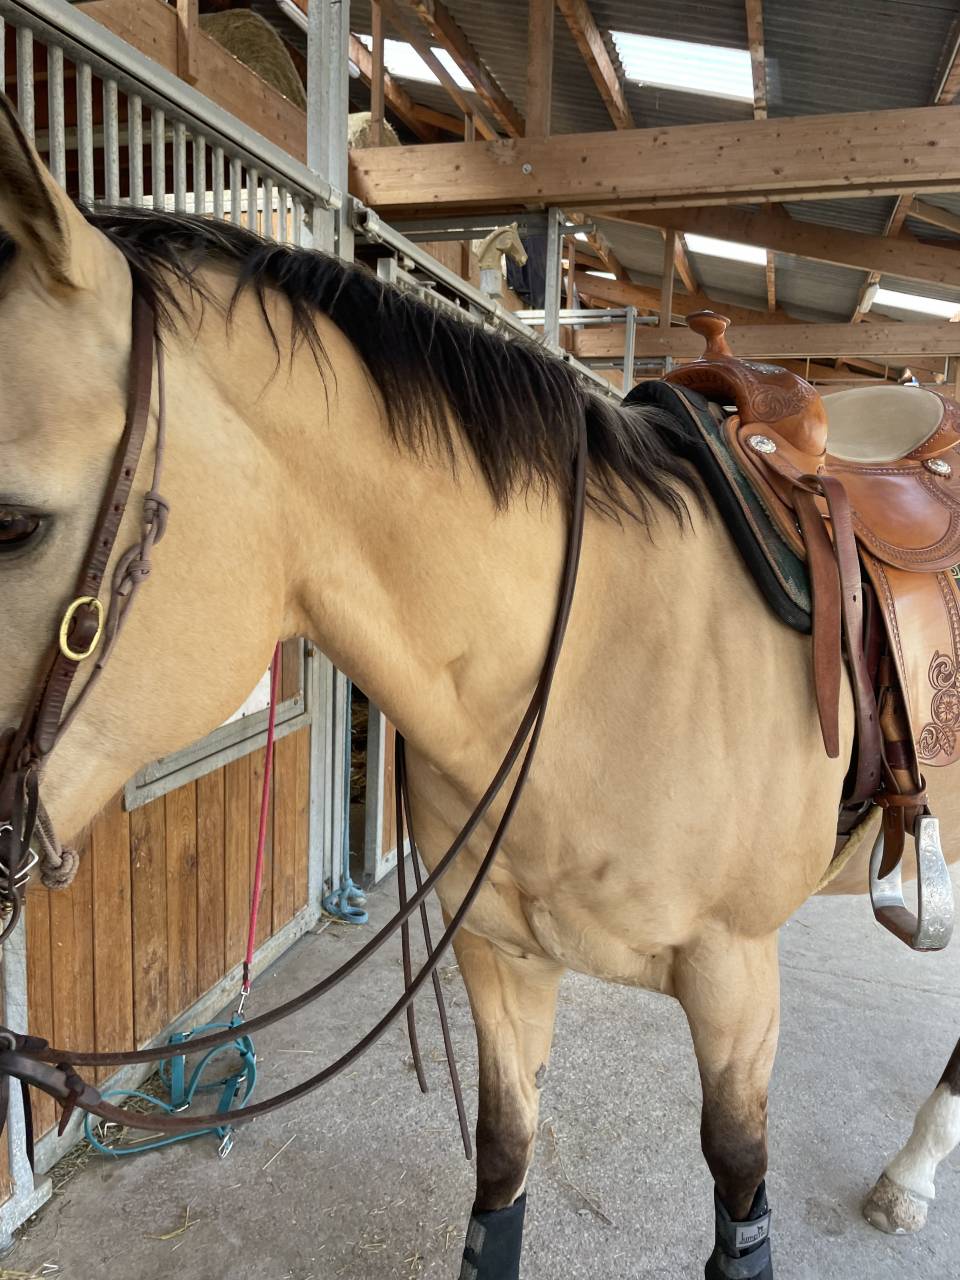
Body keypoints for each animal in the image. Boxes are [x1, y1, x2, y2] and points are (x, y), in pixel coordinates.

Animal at [0, 97, 957, 1277]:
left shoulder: (737, 979)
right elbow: (503, 1161)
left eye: (12, 524)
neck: (597, 666)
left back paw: (911, 1176)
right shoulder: (500, 957)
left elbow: (740, 1186)